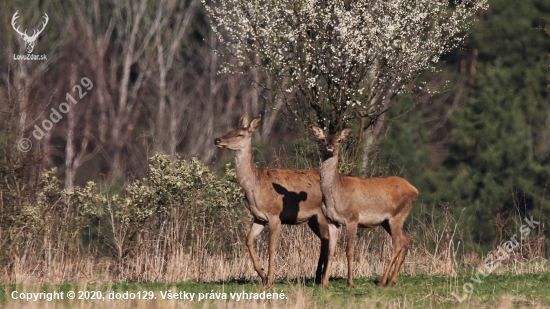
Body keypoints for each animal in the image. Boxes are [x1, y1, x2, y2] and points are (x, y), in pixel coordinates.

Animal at [213, 113, 330, 286]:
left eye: (239, 134)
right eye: (230, 130)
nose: (217, 140)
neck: (255, 187)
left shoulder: (275, 215)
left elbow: (271, 247)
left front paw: (270, 279)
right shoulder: (259, 217)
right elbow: (248, 239)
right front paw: (261, 274)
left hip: (321, 214)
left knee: (328, 239)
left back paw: (321, 276)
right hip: (311, 219)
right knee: (323, 240)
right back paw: (317, 276)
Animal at [312, 125, 420, 288]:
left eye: (339, 140)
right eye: (323, 139)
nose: (330, 146)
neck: (334, 196)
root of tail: (415, 190)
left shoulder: (352, 218)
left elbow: (349, 251)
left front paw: (350, 283)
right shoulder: (332, 221)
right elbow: (330, 252)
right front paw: (324, 284)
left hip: (398, 215)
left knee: (397, 245)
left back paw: (382, 282)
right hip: (386, 221)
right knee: (406, 241)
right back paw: (391, 281)